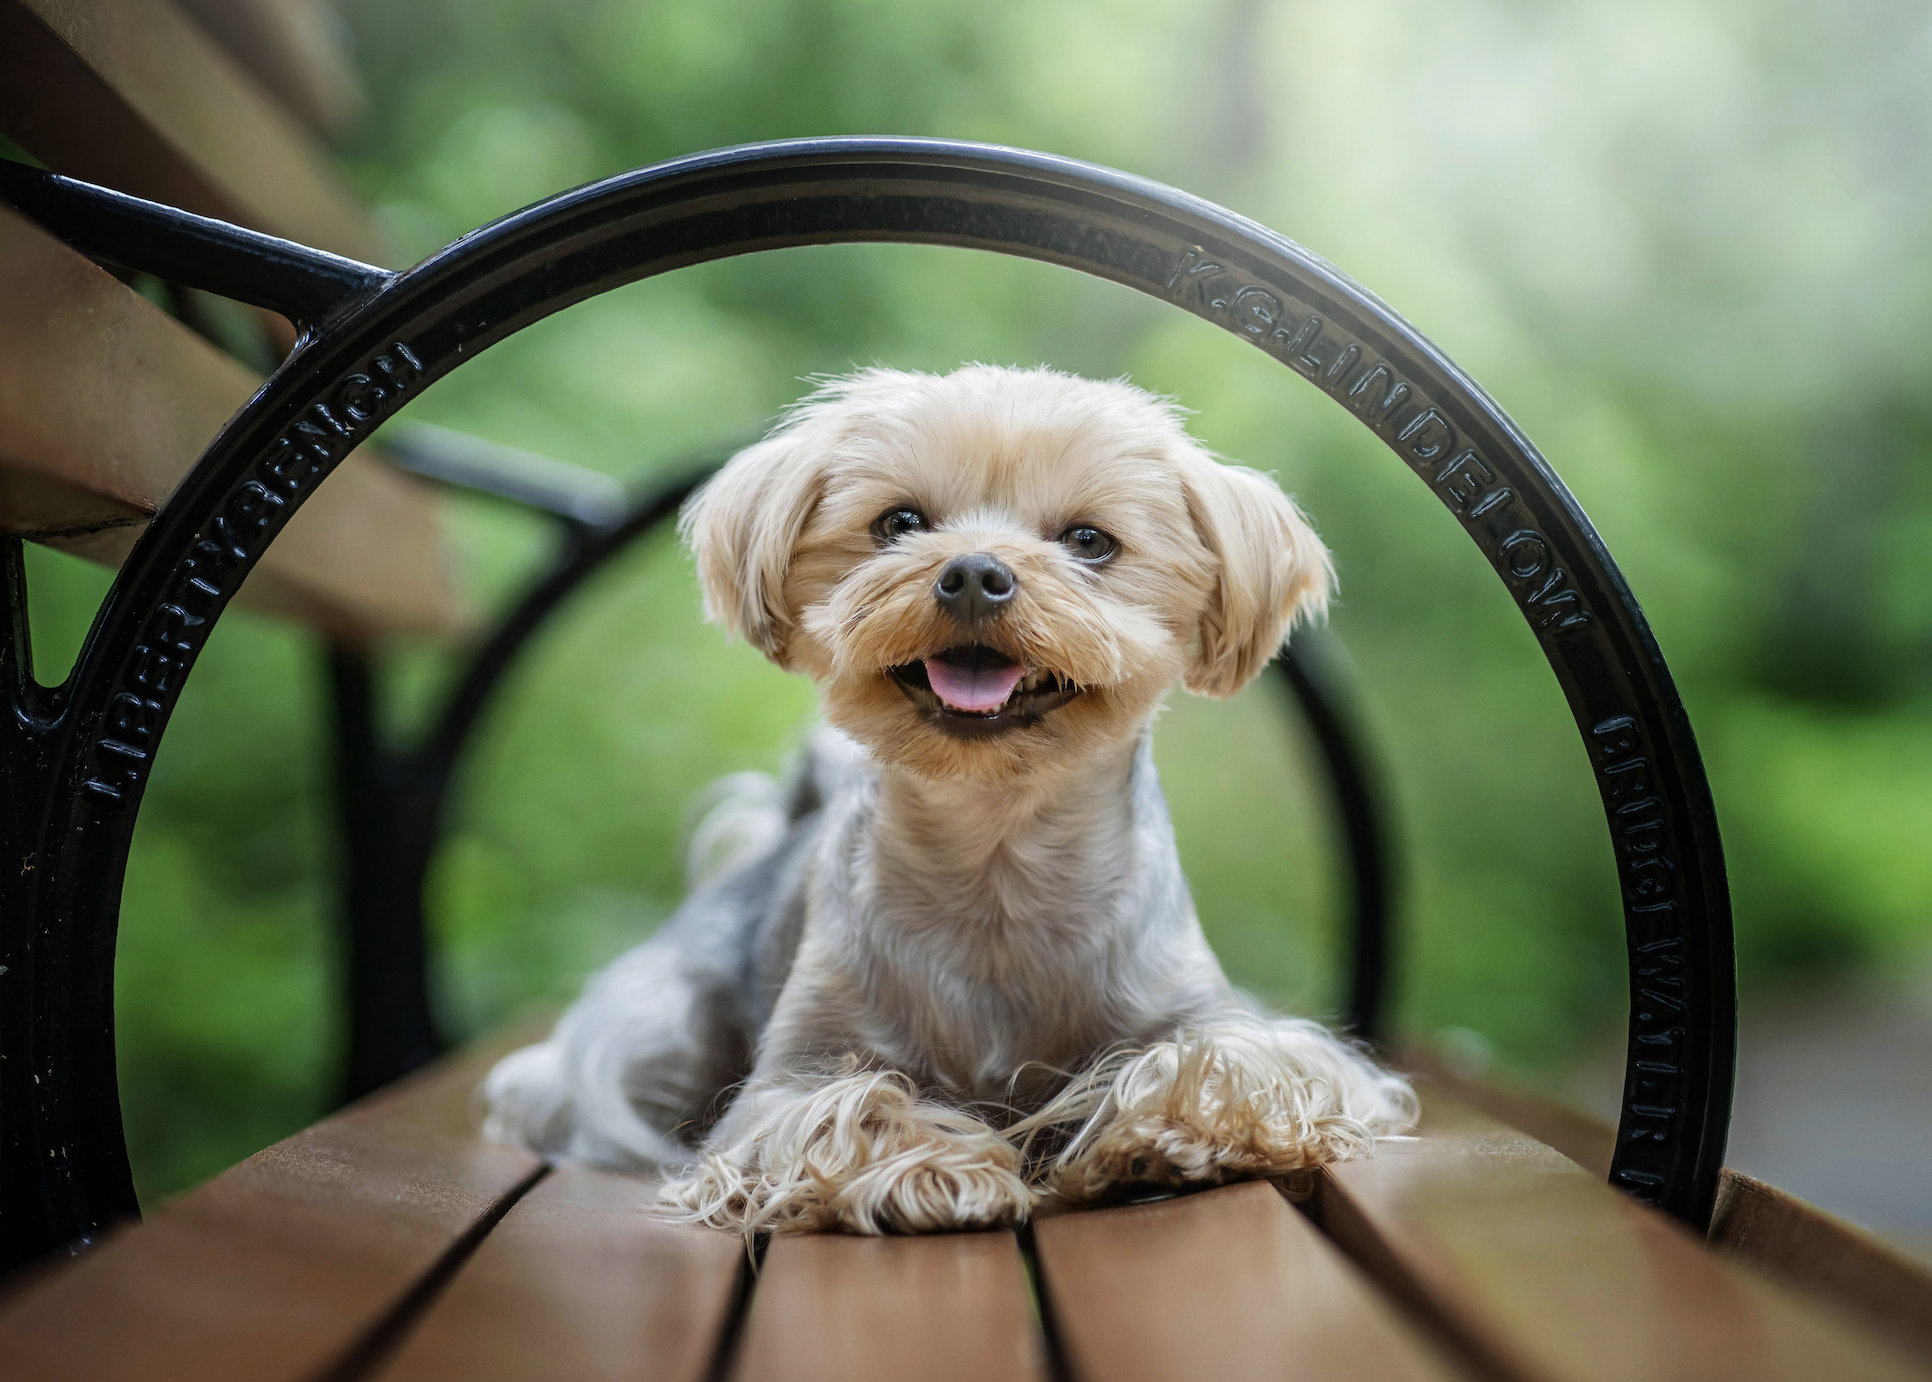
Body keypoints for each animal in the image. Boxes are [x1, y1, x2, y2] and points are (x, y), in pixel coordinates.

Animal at [483, 365, 1421, 1229]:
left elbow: (1225, 1062)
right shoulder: (791, 1076)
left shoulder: (1214, 1016)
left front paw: (1169, 1134)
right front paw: (938, 1168)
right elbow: (843, 1107)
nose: (974, 572)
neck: (995, 852)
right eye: (898, 523)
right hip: (659, 1029)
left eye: (1090, 540)